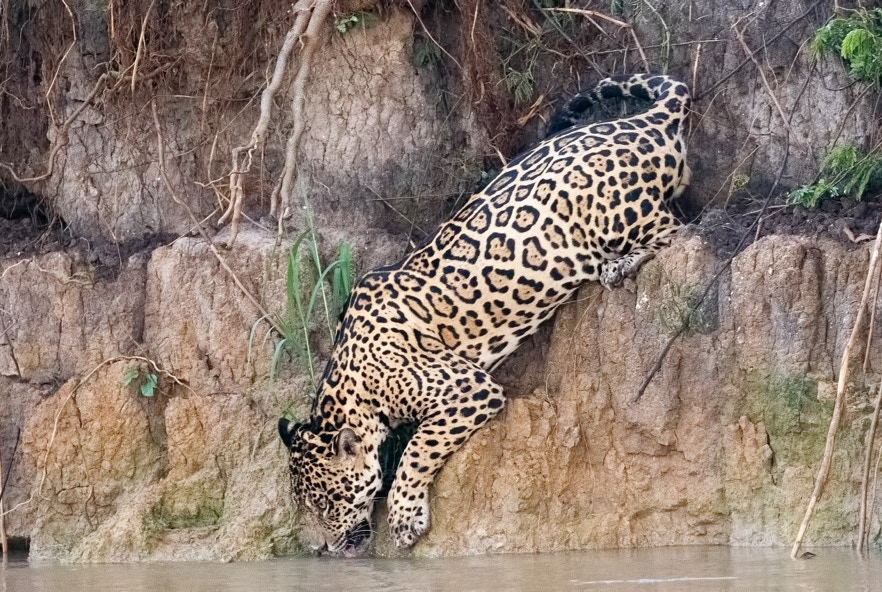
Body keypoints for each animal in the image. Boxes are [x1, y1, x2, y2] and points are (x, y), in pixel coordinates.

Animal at [278, 73, 692, 557]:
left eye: (326, 504)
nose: (318, 549)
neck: (351, 384)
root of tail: (644, 122)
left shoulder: (466, 388)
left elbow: (417, 449)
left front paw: (404, 519)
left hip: (615, 219)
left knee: (678, 230)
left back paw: (620, 265)